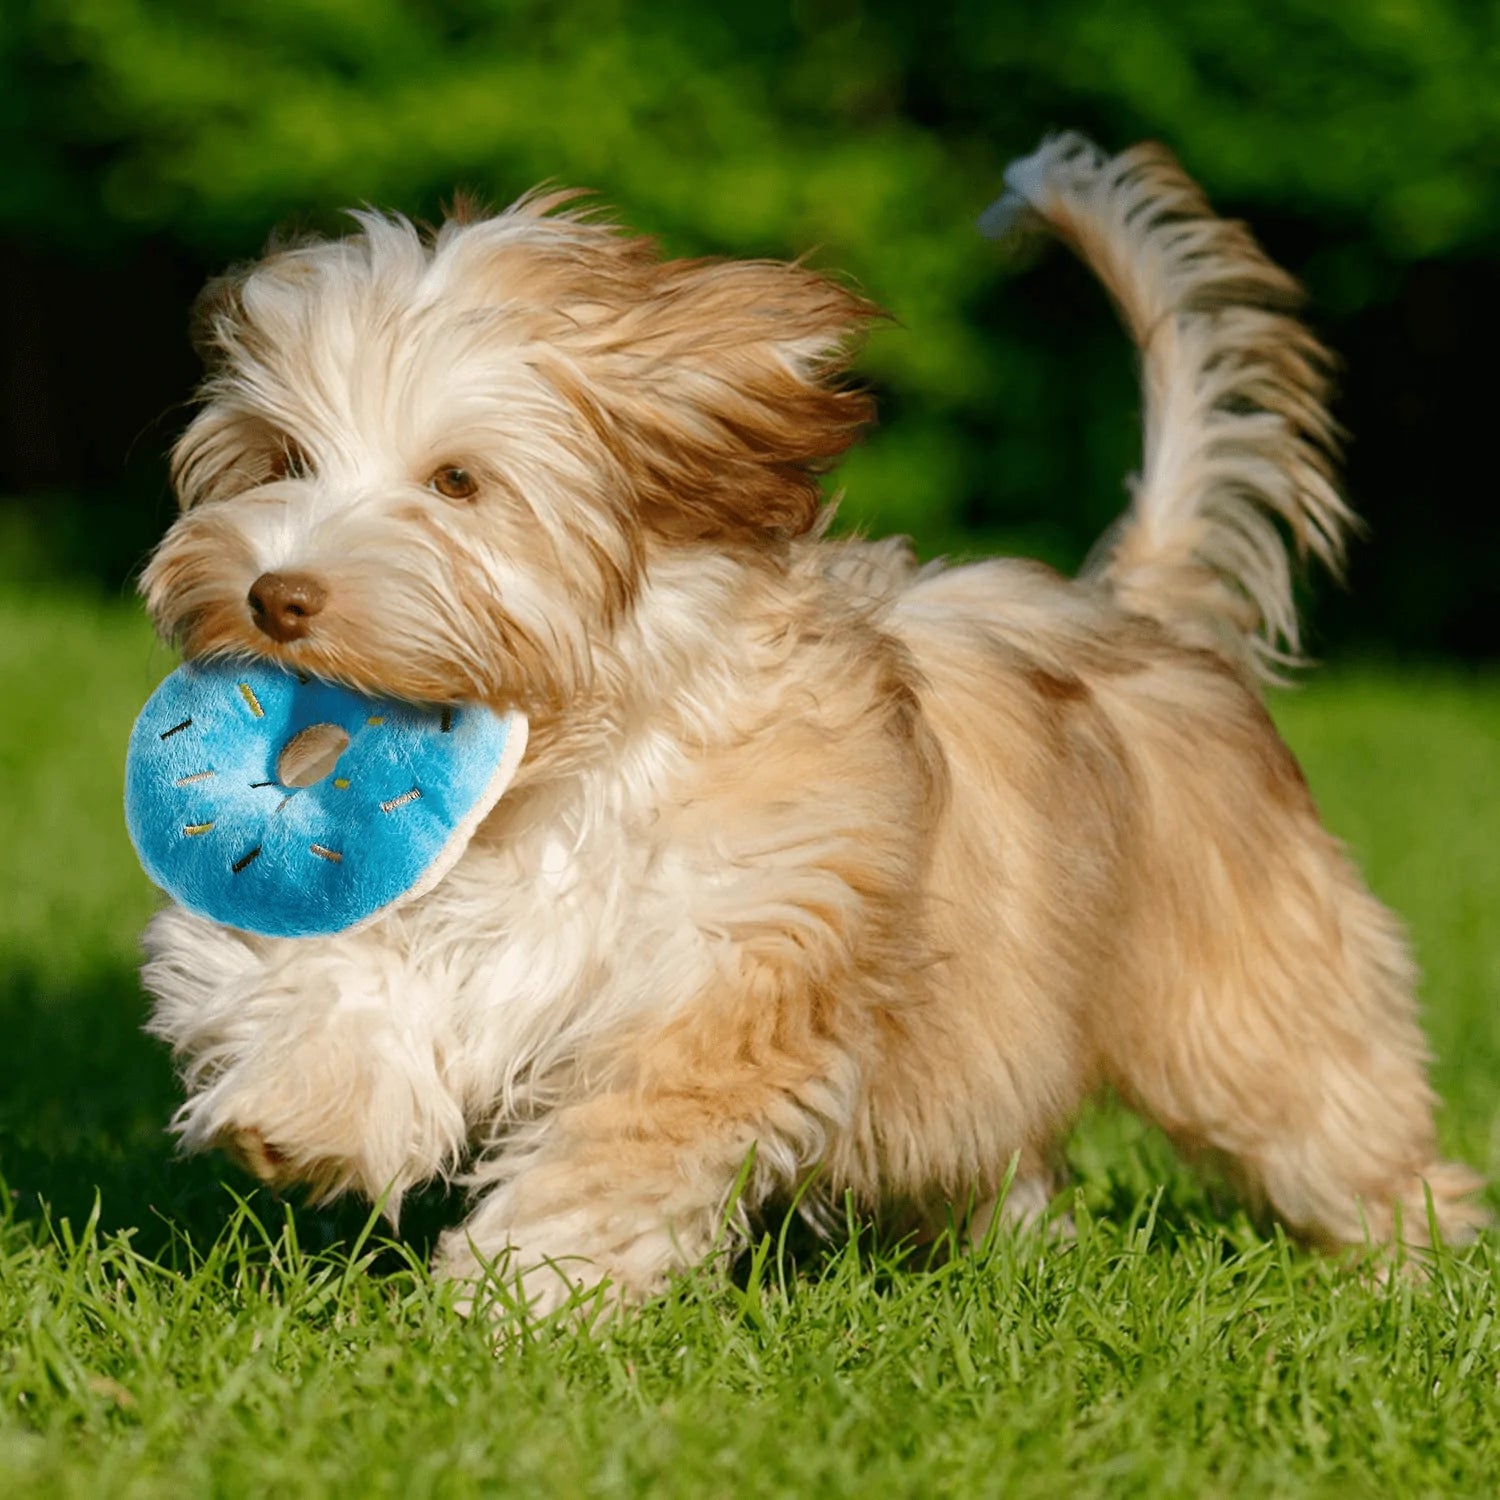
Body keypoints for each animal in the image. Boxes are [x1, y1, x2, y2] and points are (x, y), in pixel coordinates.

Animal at [138, 138, 1476, 1314]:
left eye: (458, 483)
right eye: (283, 458)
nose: (276, 595)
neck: (568, 768)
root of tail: (1138, 614)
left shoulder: (736, 962)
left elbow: (621, 1147)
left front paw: (519, 1299)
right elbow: (315, 959)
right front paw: (304, 1101)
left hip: (1247, 994)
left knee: (1331, 1117)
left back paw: (1413, 1268)